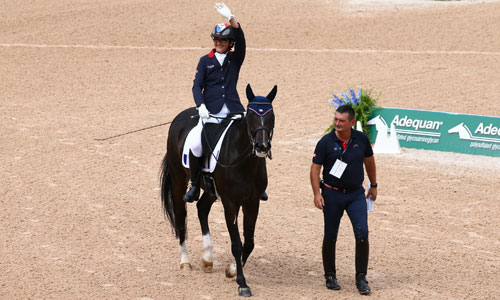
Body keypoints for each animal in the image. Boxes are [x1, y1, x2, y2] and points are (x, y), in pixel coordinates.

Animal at [160, 84, 278, 298]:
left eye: (271, 116)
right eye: (250, 115)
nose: (262, 146)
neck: (244, 162)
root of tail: (181, 116)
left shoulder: (252, 202)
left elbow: (249, 242)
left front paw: (231, 270)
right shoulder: (230, 203)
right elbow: (237, 244)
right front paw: (242, 283)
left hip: (211, 189)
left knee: (201, 208)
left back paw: (207, 258)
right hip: (179, 179)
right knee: (181, 215)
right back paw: (185, 262)